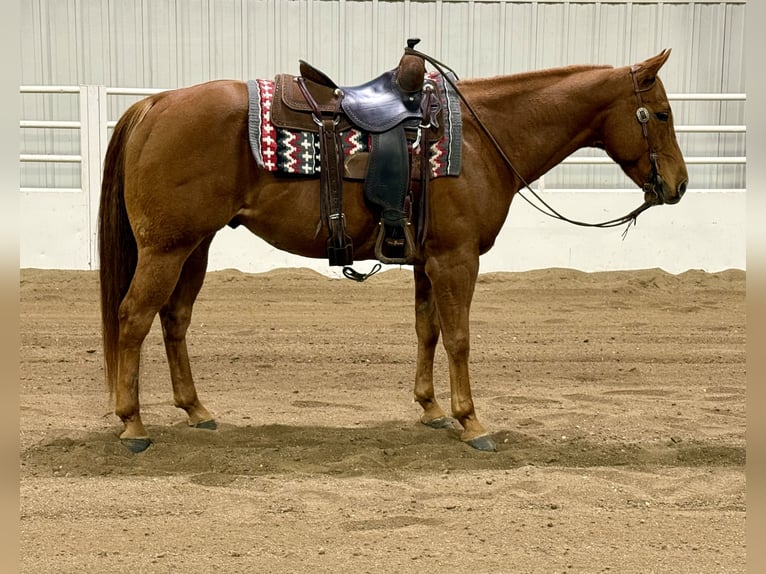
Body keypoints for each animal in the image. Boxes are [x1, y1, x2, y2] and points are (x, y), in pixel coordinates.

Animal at [98, 49, 688, 453]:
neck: (481, 138)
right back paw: (133, 423)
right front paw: (472, 422)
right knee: (133, 318)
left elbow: (427, 330)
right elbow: (459, 339)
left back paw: (196, 410)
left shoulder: (429, 261)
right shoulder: (457, 258)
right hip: (166, 248)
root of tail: (154, 104)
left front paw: (431, 409)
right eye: (660, 114)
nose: (679, 186)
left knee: (174, 319)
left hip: (194, 246)